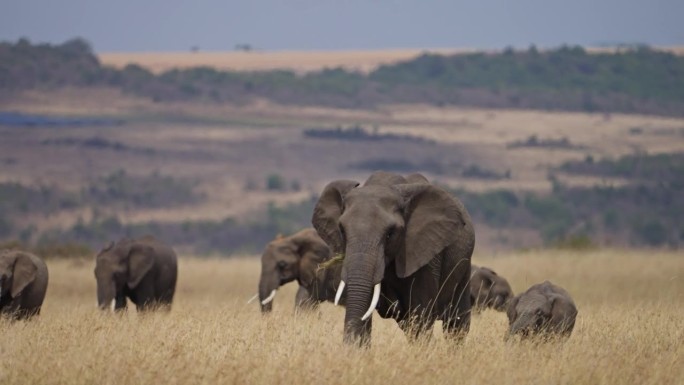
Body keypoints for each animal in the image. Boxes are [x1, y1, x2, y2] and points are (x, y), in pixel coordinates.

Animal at [312, 171, 476, 344]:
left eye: (390, 234)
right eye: (342, 231)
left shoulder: (427, 255)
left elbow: (421, 316)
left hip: (464, 265)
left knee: (456, 325)